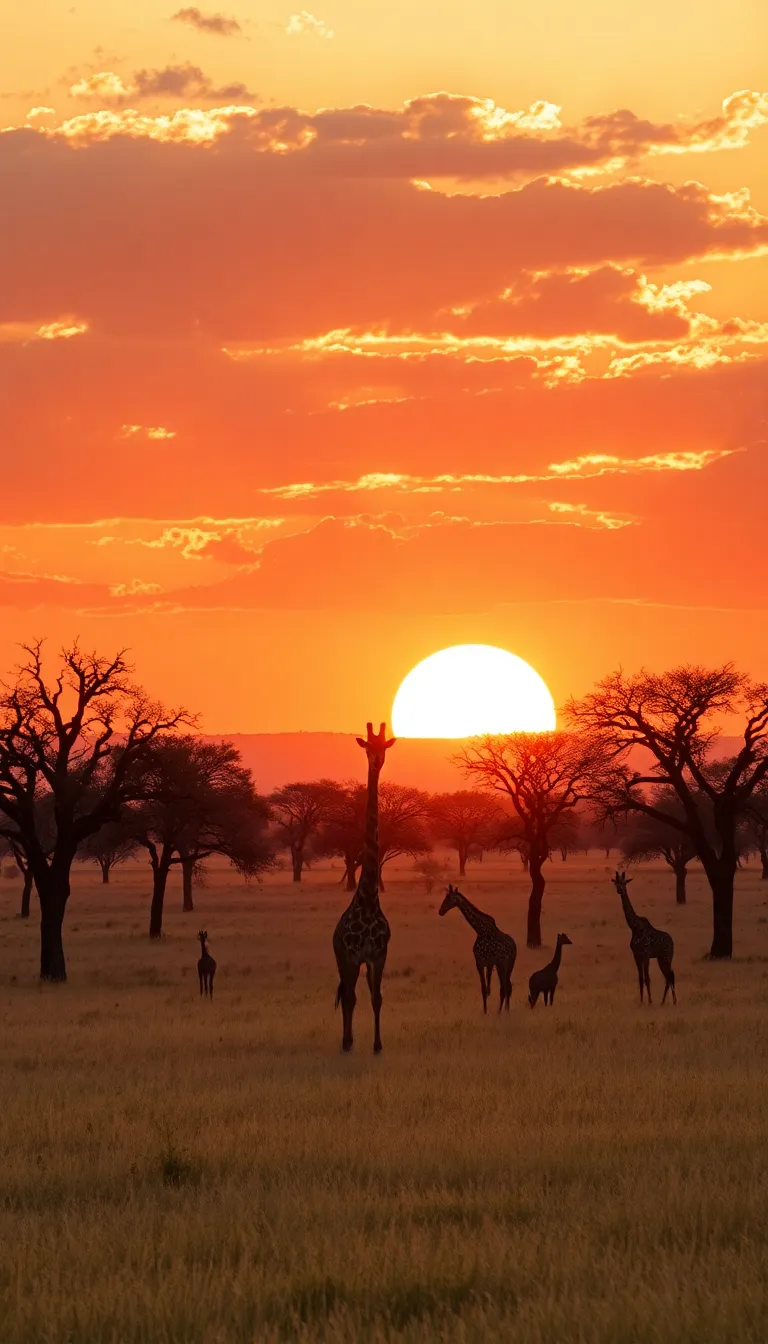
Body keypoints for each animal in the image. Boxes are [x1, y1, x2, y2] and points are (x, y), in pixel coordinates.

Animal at [613, 870, 677, 1010]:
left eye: (624, 883)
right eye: (616, 883)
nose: (620, 890)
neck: (634, 927)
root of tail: (672, 941)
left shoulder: (646, 954)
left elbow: (647, 978)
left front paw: (650, 1001)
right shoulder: (636, 955)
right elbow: (640, 978)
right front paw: (642, 1001)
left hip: (666, 957)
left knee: (671, 975)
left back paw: (673, 1001)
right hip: (661, 959)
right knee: (668, 976)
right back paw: (664, 1002)